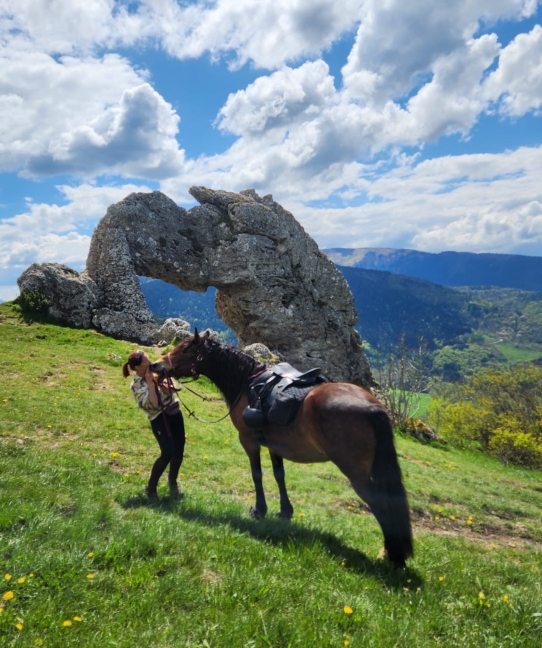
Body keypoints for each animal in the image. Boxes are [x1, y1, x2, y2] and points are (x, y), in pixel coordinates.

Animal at [151, 330, 414, 567]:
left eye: (185, 349)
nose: (156, 365)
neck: (248, 383)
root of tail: (373, 408)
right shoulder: (274, 445)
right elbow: (279, 475)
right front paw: (284, 512)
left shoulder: (249, 440)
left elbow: (257, 474)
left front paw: (259, 510)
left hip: (355, 472)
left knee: (380, 504)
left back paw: (392, 554)